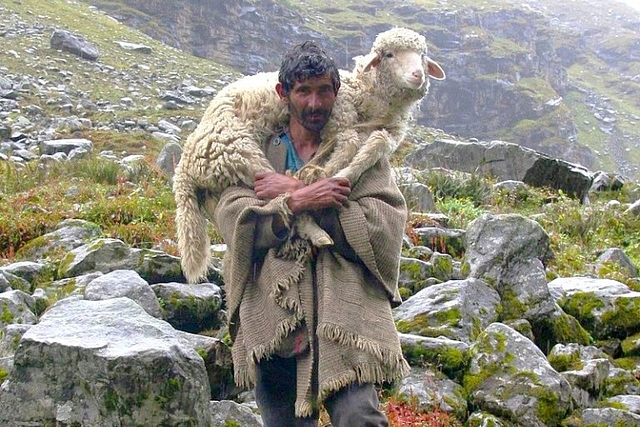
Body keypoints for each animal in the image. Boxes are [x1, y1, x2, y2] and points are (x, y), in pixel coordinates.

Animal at [172, 29, 448, 284]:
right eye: (389, 55)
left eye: (422, 56)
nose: (417, 75)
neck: (369, 97)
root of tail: (184, 167)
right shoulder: (339, 118)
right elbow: (349, 144)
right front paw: (327, 173)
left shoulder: (388, 133)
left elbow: (374, 146)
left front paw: (337, 172)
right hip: (237, 149)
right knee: (280, 200)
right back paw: (315, 228)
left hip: (221, 180)